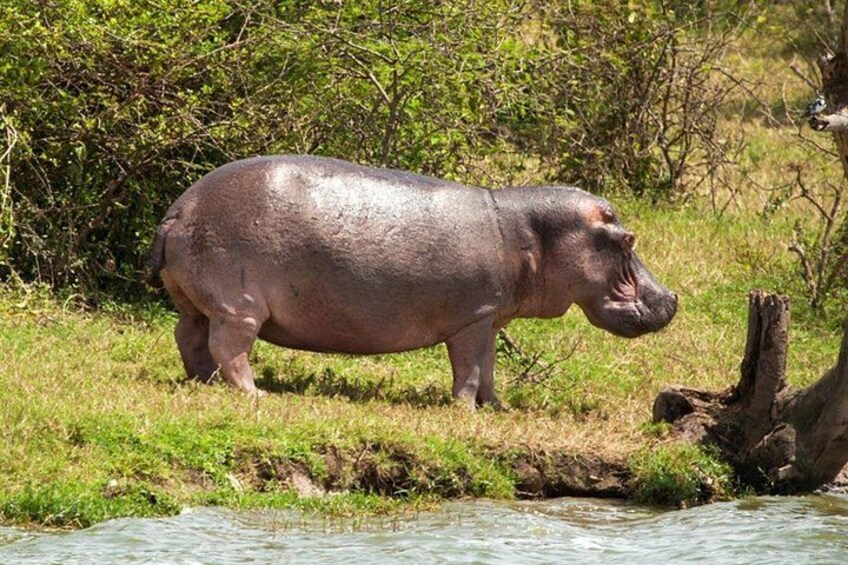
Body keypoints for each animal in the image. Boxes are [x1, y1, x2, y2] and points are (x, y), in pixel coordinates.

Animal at [150, 155, 677, 407]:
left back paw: (203, 382)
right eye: (628, 239)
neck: (532, 233)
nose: (671, 297)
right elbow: (468, 370)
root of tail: (178, 210)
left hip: (197, 301)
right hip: (238, 306)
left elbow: (488, 369)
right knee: (229, 347)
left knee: (188, 336)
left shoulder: (488, 318)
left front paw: (497, 407)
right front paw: (464, 411)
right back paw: (255, 394)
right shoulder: (472, 319)